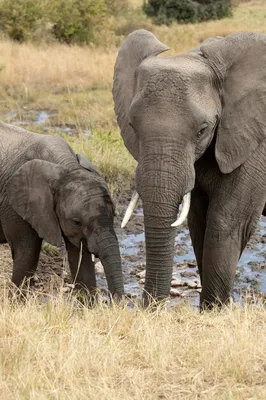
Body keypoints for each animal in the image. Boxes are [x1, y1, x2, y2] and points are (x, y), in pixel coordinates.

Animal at [0, 120, 124, 298]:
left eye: (114, 215)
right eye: (77, 222)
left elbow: (80, 257)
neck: (66, 167)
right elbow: (26, 253)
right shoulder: (14, 203)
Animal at [112, 29, 266, 308]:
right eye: (132, 125)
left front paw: (214, 310)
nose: (148, 307)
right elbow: (197, 219)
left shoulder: (255, 145)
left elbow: (227, 219)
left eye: (202, 130)